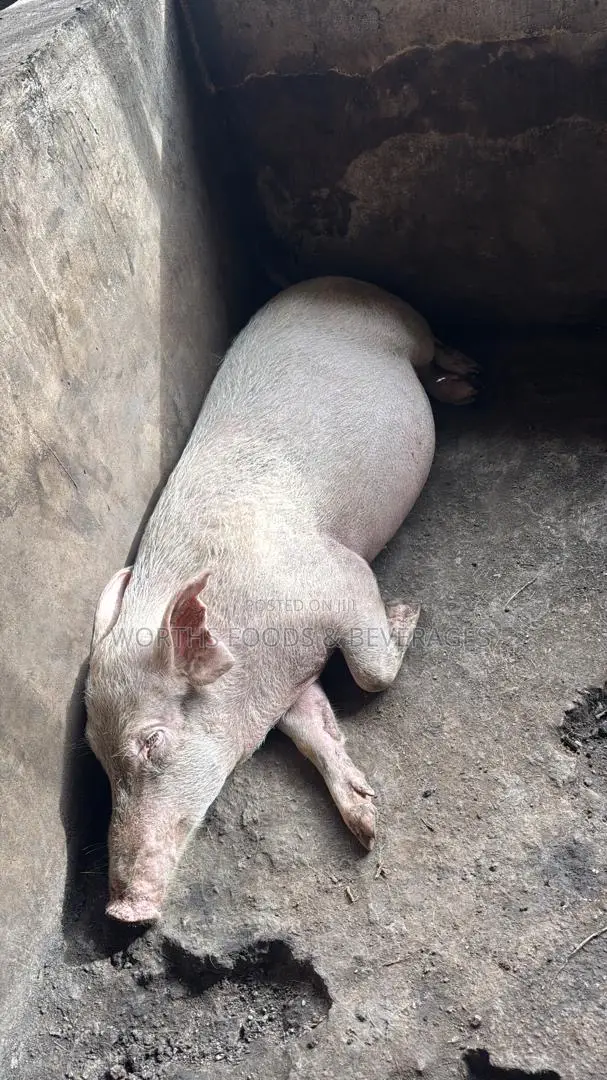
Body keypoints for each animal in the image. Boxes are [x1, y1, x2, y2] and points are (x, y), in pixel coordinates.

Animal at [85, 276, 477, 923]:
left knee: (432, 348)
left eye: (152, 741)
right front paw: (367, 825)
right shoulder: (287, 684)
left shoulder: (340, 576)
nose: (120, 910)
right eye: (95, 756)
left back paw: (469, 379)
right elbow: (313, 727)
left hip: (406, 324)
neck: (264, 661)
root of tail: (328, 280)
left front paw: (406, 612)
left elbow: (371, 673)